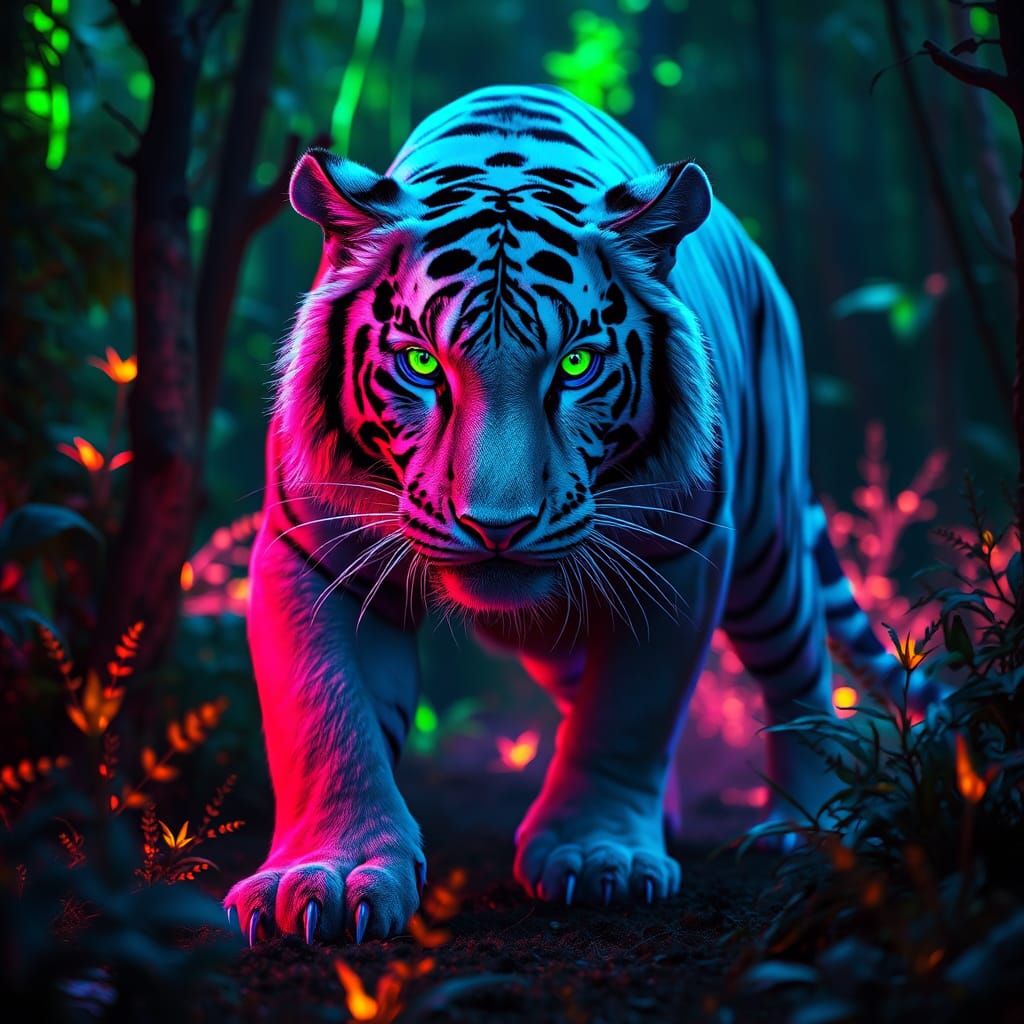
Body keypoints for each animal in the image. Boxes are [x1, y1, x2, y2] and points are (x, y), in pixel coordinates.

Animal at [224, 84, 921, 946]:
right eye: (421, 363)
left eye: (577, 365)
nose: (497, 524)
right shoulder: (313, 550)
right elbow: (325, 716)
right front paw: (331, 870)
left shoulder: (679, 555)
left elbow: (629, 710)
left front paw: (596, 856)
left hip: (767, 552)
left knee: (799, 672)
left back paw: (807, 822)